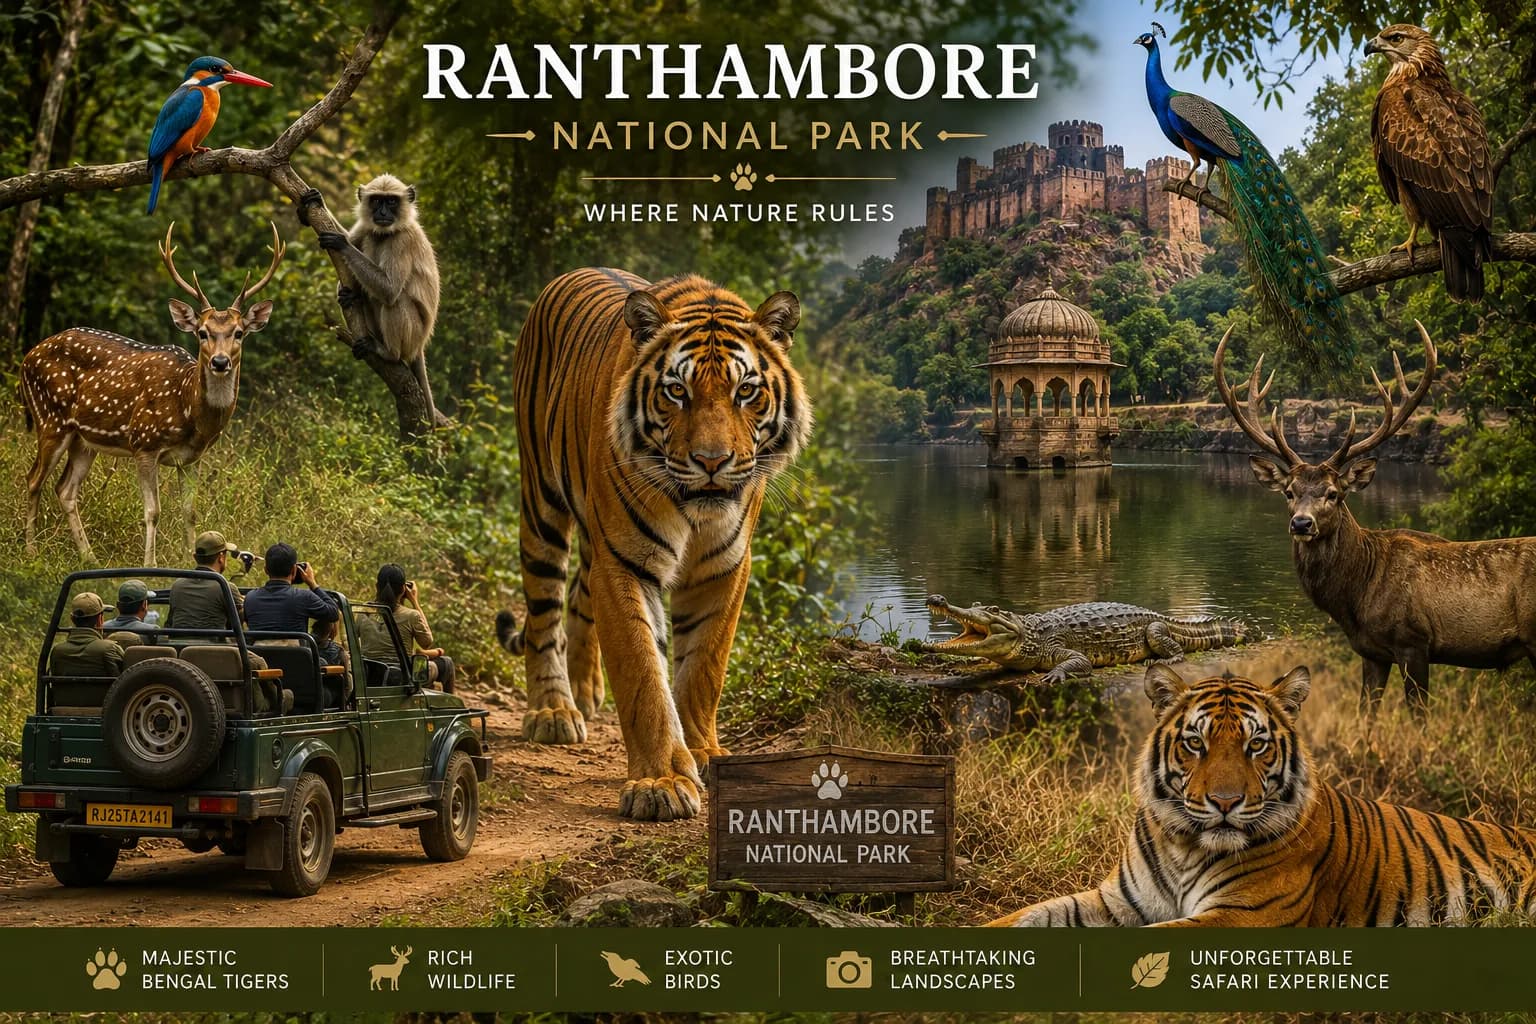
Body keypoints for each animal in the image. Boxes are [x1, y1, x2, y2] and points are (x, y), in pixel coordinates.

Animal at [494, 267, 811, 822]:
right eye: (677, 391)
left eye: (746, 391)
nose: (712, 461)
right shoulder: (624, 564)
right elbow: (644, 673)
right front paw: (661, 782)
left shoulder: (724, 568)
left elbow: (703, 667)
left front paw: (703, 753)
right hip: (541, 502)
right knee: (544, 610)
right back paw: (554, 710)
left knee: (578, 597)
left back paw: (585, 691)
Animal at [990, 664, 1536, 926]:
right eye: (1196, 743)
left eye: (1256, 745)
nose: (1225, 803)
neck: (1184, 846)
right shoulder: (1118, 901)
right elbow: (1025, 915)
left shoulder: (1241, 917)